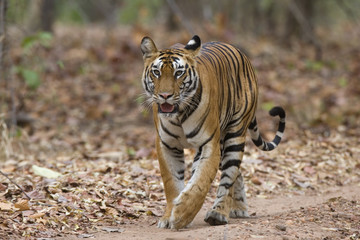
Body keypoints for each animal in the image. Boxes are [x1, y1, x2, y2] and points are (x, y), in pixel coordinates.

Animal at [139, 35, 286, 229]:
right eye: (156, 72)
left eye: (179, 73)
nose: (165, 96)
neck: (178, 114)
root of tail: (241, 54)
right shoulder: (166, 145)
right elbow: (172, 183)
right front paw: (168, 216)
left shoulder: (209, 143)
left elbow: (201, 181)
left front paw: (182, 214)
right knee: (236, 173)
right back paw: (239, 208)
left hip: (234, 135)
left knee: (229, 176)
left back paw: (219, 213)